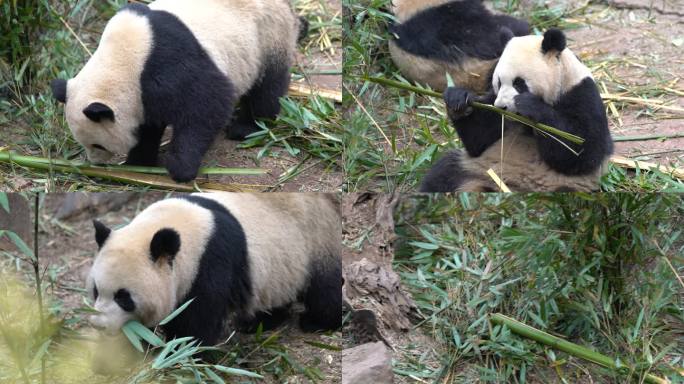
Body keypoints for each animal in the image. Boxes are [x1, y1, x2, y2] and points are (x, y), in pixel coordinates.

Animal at [53, 0, 308, 183]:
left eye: (98, 145)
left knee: (267, 86)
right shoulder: (143, 95)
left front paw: (180, 168)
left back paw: (247, 127)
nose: (95, 163)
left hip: (268, 35)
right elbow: (148, 125)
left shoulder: (167, 64)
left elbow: (208, 103)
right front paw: (139, 161)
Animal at [86, 192, 342, 344]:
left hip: (317, 239)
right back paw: (259, 322)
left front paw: (182, 356)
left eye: (124, 297)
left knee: (324, 289)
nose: (97, 325)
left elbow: (197, 322)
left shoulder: (211, 261)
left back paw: (318, 322)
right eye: (96, 291)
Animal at [422, 28, 616, 192]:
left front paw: (529, 105)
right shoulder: (493, 102)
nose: (502, 107)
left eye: (519, 83)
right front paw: (458, 99)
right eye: (499, 82)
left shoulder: (581, 93)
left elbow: (582, 152)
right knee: (443, 175)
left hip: (560, 187)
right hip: (477, 168)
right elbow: (478, 141)